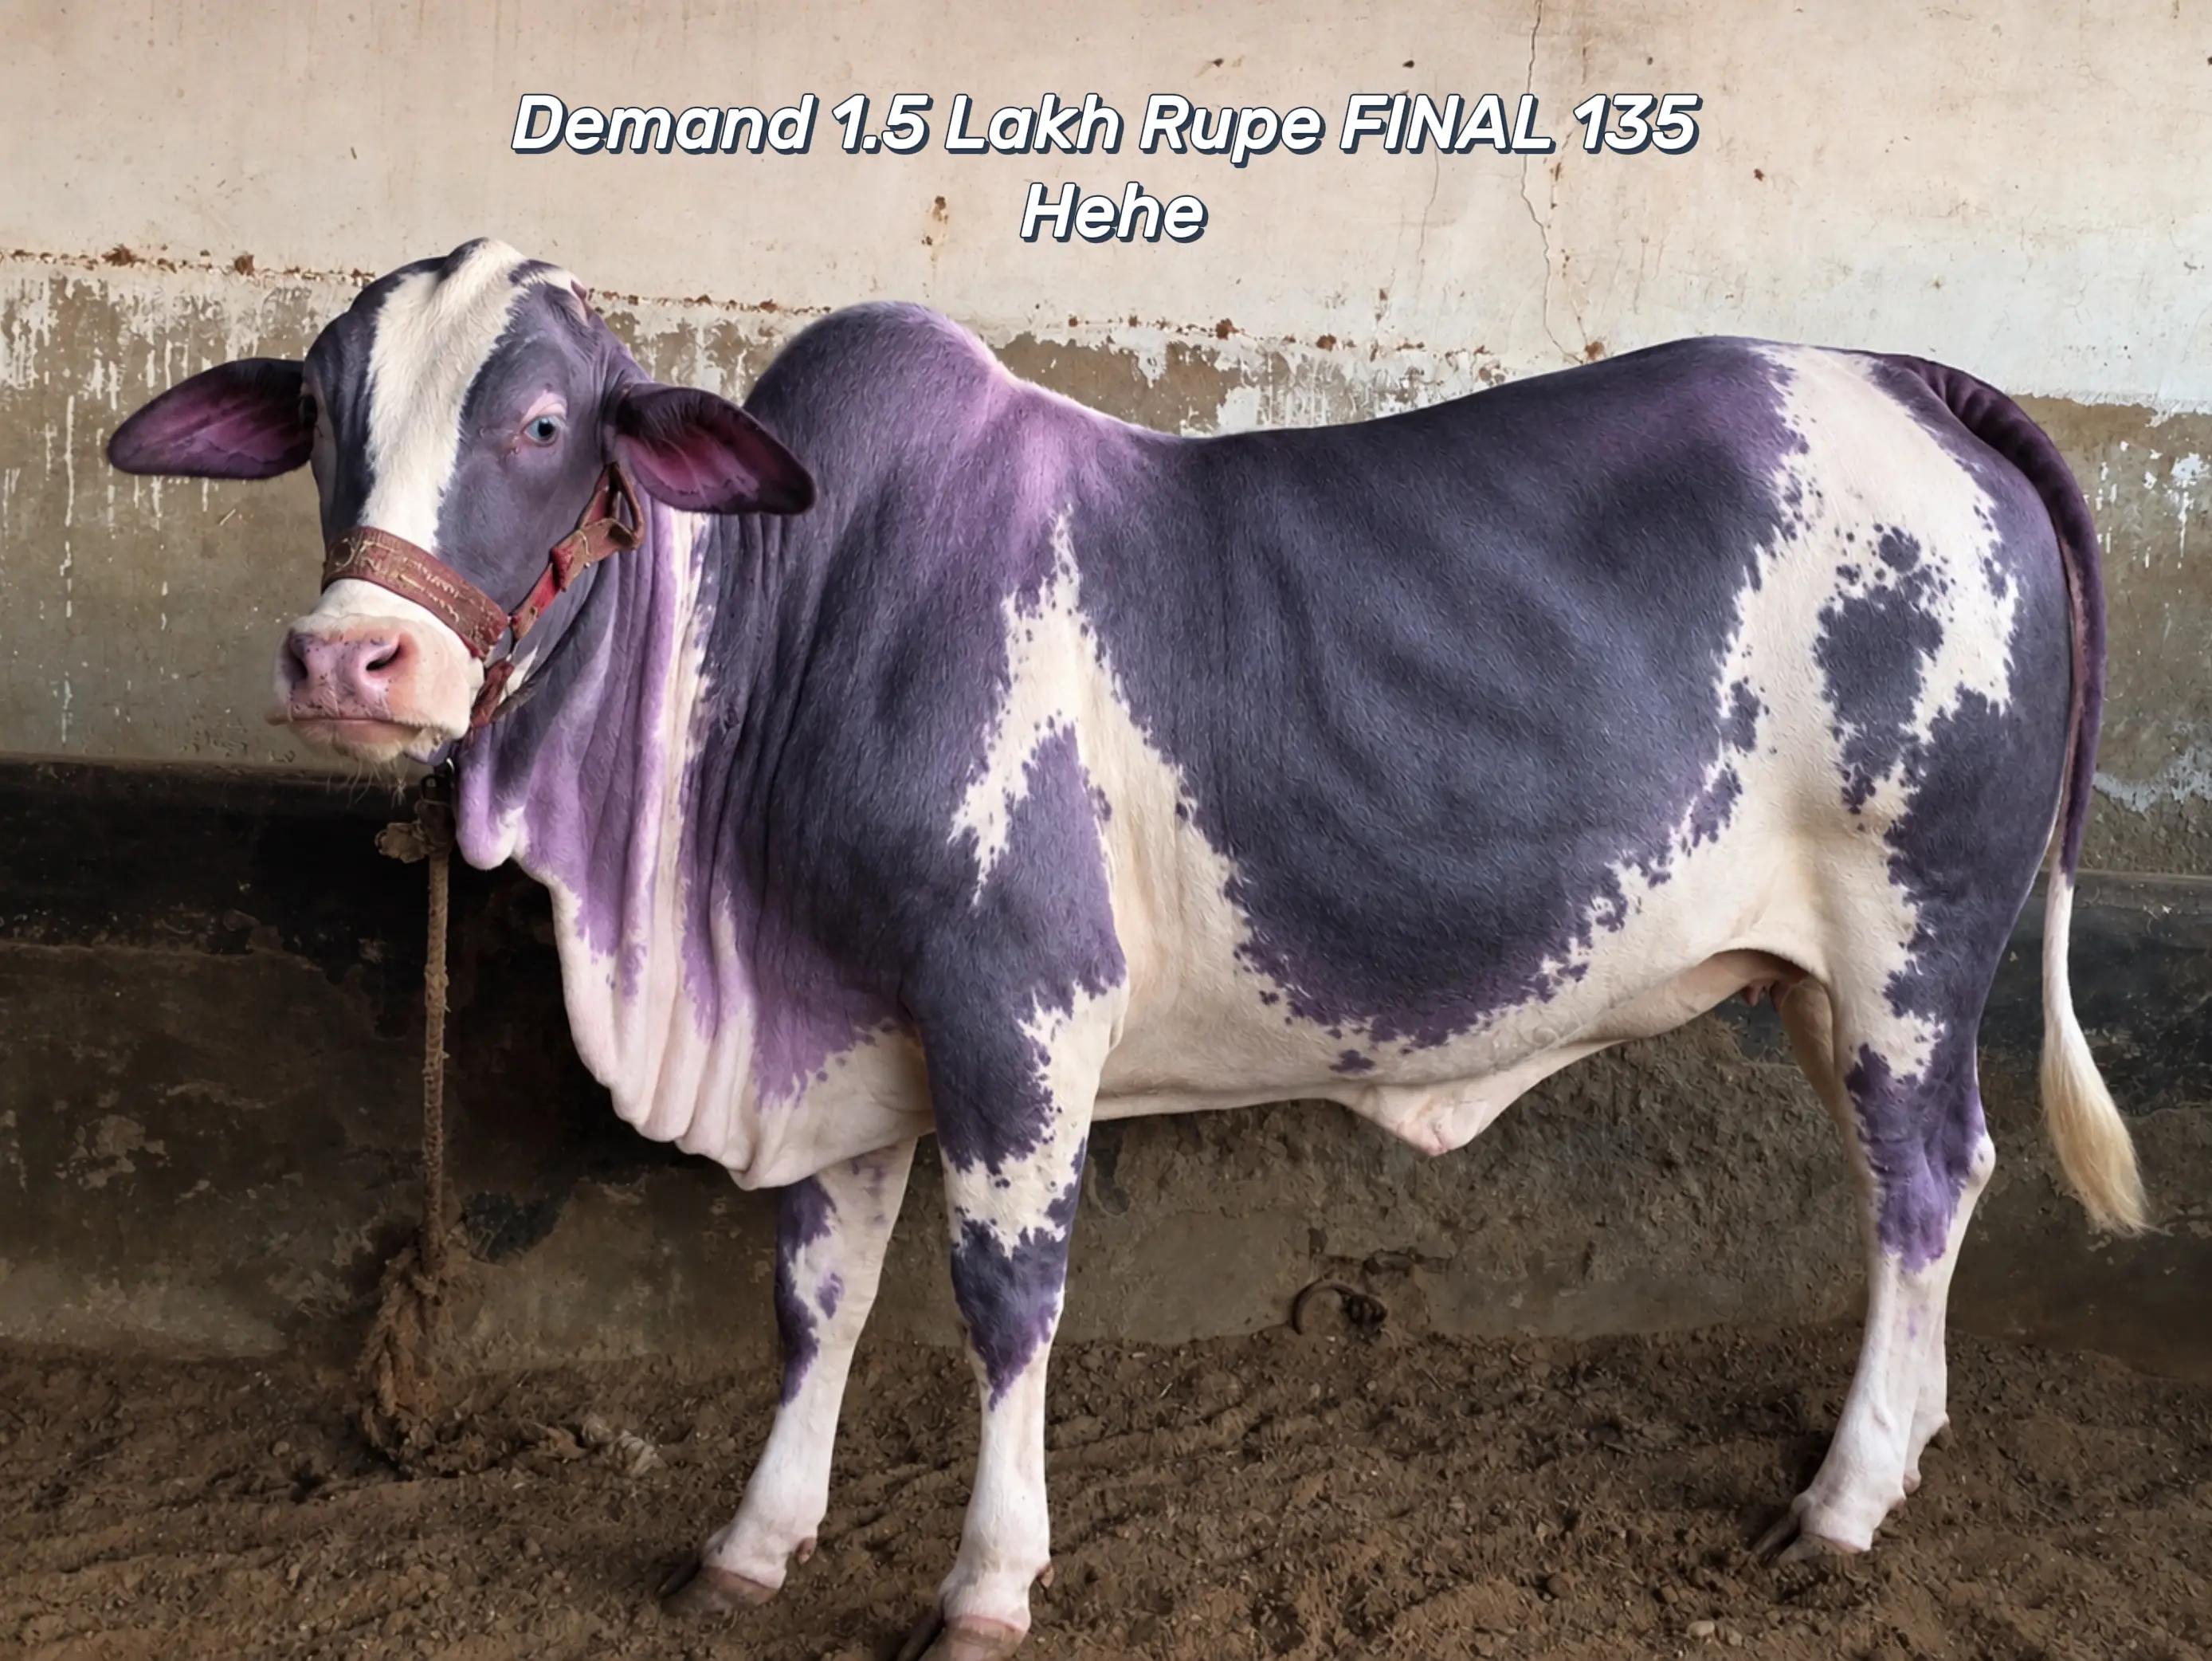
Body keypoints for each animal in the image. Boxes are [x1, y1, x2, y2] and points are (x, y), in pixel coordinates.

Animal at [108, 238, 2145, 1660]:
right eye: (322, 415)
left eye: (541, 426)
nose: (350, 658)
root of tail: (1903, 375)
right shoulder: (838, 1030)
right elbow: (815, 1294)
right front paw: (748, 1543)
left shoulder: (1013, 1012)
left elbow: (1003, 1299)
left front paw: (983, 1583)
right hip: (1827, 976)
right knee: (1921, 1186)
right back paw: (1899, 1440)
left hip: (1909, 931)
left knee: (1925, 1177)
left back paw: (1840, 1503)